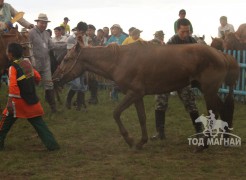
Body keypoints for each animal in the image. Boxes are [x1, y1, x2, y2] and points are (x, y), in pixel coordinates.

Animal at [52, 40, 239, 149]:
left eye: (67, 59)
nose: (55, 78)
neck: (119, 60)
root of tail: (221, 54)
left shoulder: (133, 93)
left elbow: (116, 113)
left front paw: (129, 139)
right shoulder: (137, 96)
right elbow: (142, 118)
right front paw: (141, 141)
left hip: (208, 90)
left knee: (214, 112)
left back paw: (205, 143)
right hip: (209, 90)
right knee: (223, 109)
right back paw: (224, 139)